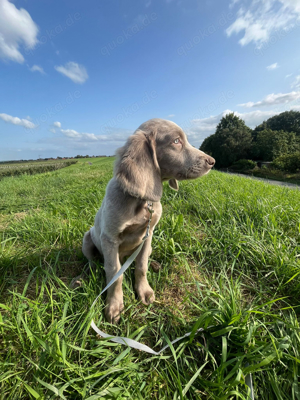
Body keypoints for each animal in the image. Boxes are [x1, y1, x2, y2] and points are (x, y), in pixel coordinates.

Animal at [81, 118, 214, 322]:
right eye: (176, 141)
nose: (212, 161)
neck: (141, 202)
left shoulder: (148, 234)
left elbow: (141, 266)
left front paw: (144, 291)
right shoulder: (109, 239)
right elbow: (114, 272)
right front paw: (114, 305)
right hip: (87, 238)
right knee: (93, 261)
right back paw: (88, 274)